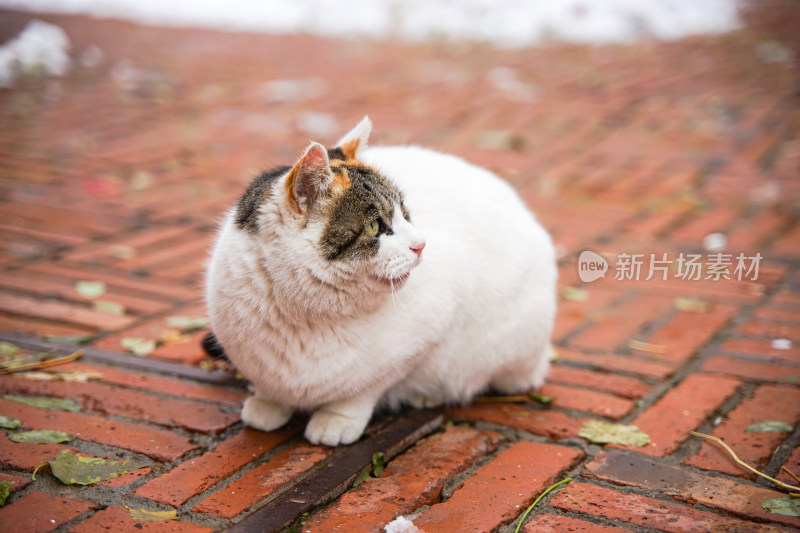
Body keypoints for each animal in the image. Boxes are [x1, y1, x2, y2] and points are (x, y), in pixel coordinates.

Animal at [206, 116, 556, 444]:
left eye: (405, 212)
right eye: (375, 226)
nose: (422, 244)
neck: (303, 315)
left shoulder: (417, 341)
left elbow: (362, 389)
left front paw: (336, 419)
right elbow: (270, 387)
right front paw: (267, 405)